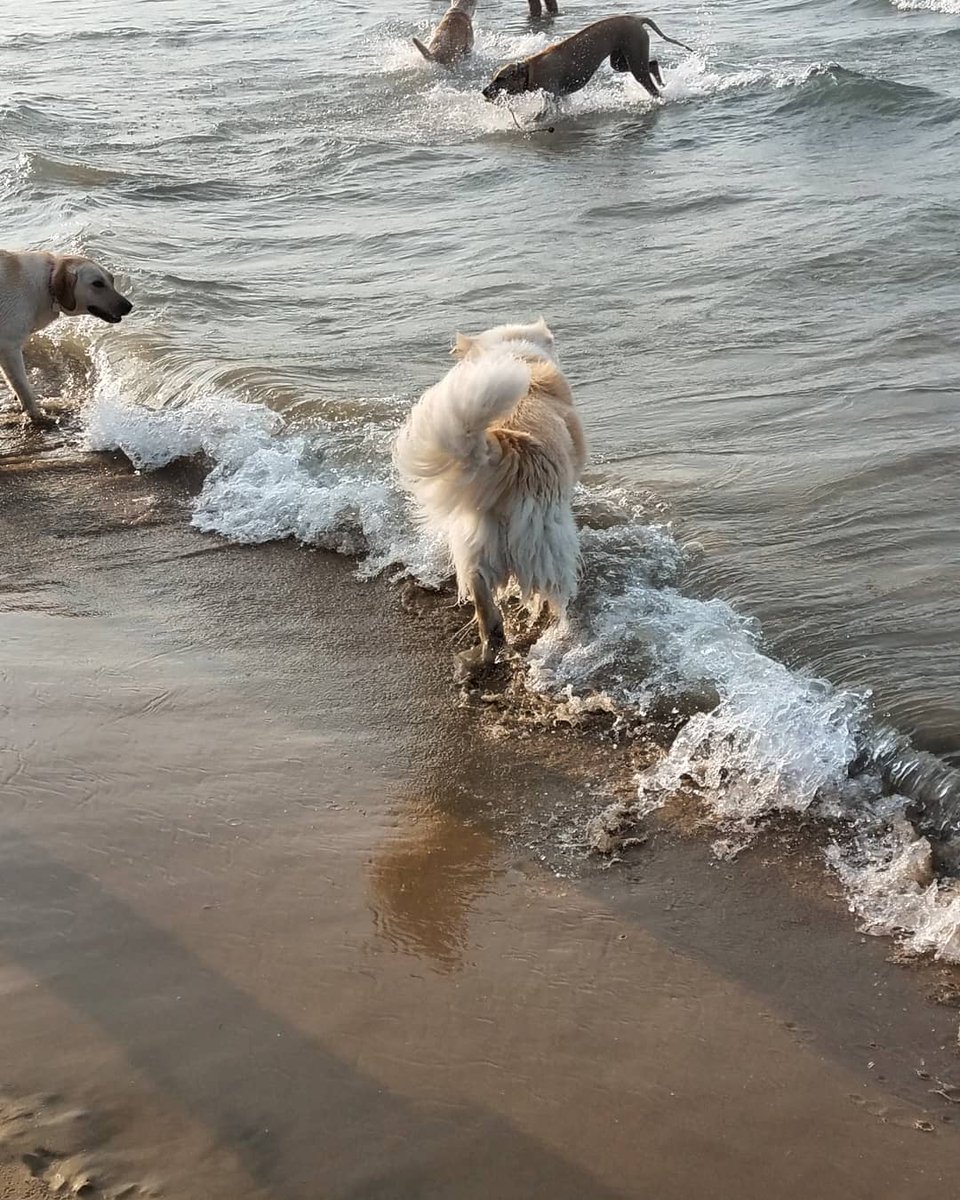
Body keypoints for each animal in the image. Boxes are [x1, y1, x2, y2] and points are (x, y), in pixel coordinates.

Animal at [0, 248, 133, 427]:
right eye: (97, 284)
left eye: (112, 280)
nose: (128, 306)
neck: (47, 283)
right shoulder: (10, 348)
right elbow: (24, 388)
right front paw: (37, 415)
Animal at [391, 319, 585, 676]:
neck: (514, 352)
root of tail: (505, 449)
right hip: (547, 547)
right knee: (553, 599)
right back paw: (562, 633)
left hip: (475, 553)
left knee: (489, 616)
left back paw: (484, 655)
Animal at [484, 13, 696, 100]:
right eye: (494, 78)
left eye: (500, 79)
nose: (484, 92)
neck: (529, 70)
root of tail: (637, 19)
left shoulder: (553, 94)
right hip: (621, 61)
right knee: (652, 63)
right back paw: (660, 80)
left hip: (635, 62)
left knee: (651, 85)